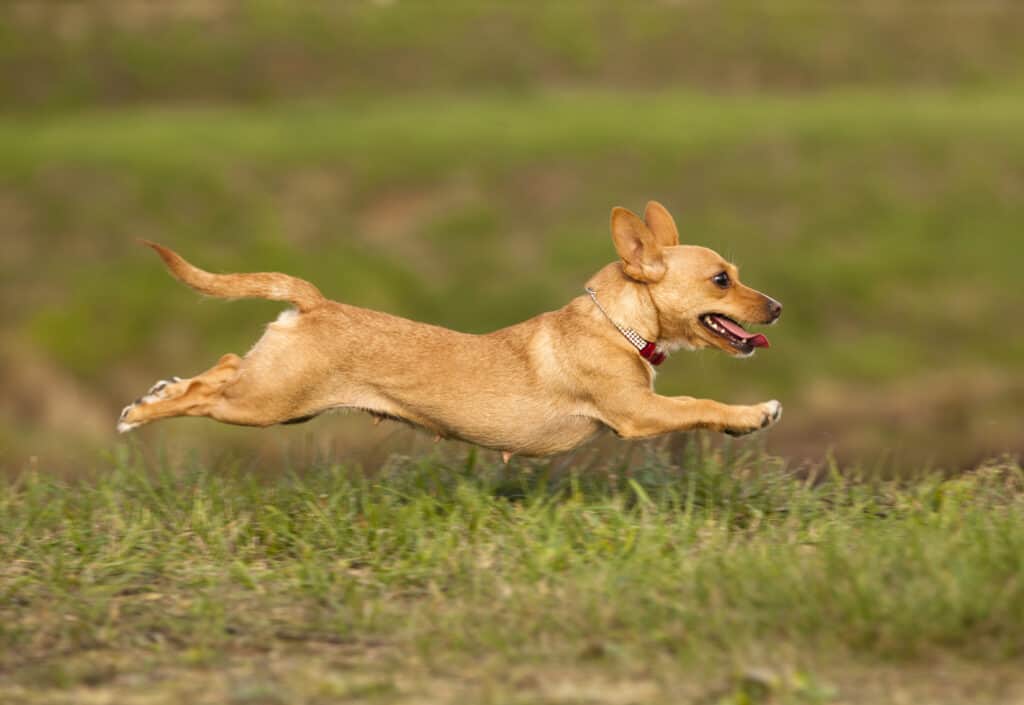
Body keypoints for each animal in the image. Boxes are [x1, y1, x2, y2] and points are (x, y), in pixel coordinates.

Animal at [117, 200, 782, 459]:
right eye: (722, 281)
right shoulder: (638, 414)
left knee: (226, 365)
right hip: (264, 404)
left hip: (277, 399)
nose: (776, 308)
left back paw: (160, 390)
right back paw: (142, 411)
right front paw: (752, 414)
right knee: (208, 393)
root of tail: (314, 302)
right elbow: (698, 404)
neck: (614, 325)